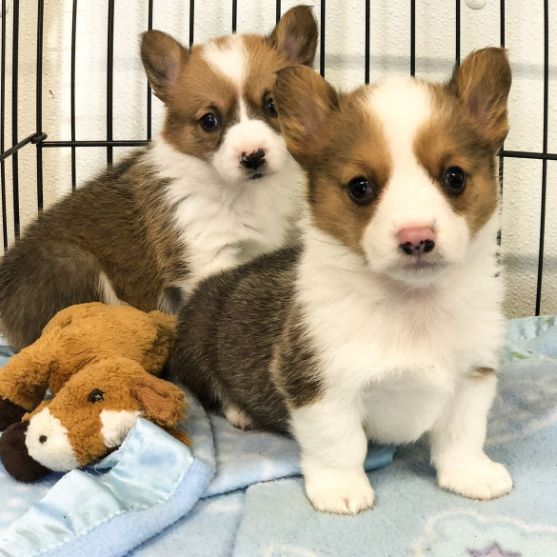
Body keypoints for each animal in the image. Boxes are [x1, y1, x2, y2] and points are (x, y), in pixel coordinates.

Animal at [0, 6, 318, 350]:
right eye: (209, 121)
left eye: (272, 105)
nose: (253, 156)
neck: (244, 192)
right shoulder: (208, 256)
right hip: (68, 264)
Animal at [169, 50, 512, 516]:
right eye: (360, 187)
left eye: (455, 177)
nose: (417, 238)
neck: (412, 303)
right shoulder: (321, 386)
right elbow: (340, 444)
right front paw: (341, 490)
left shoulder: (472, 377)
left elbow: (463, 435)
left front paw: (471, 475)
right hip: (197, 348)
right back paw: (240, 412)